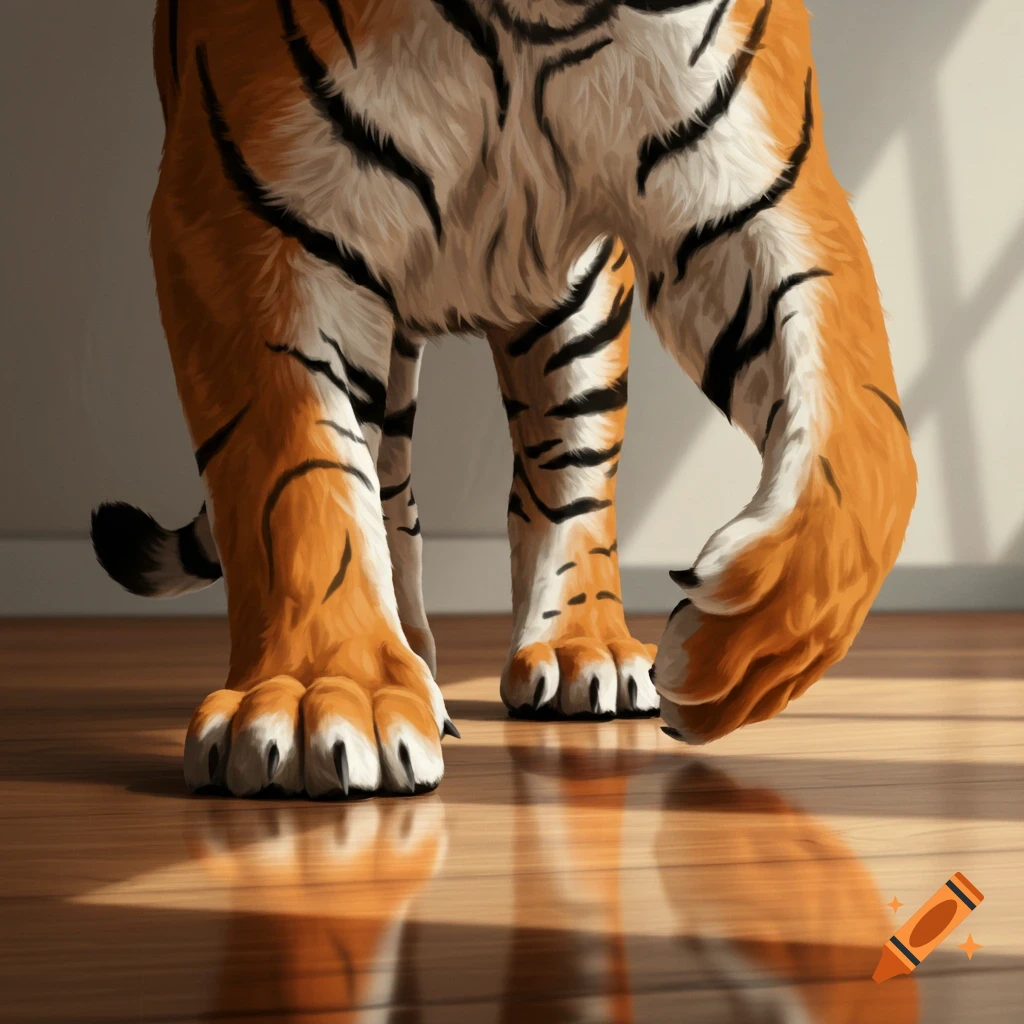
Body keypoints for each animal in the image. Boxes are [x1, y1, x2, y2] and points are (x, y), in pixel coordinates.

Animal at [91, 0, 916, 798]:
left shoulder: (757, 188)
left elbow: (875, 451)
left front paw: (729, 651)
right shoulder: (247, 217)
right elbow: (296, 474)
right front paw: (312, 697)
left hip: (574, 291)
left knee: (569, 472)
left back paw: (586, 650)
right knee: (385, 488)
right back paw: (412, 660)